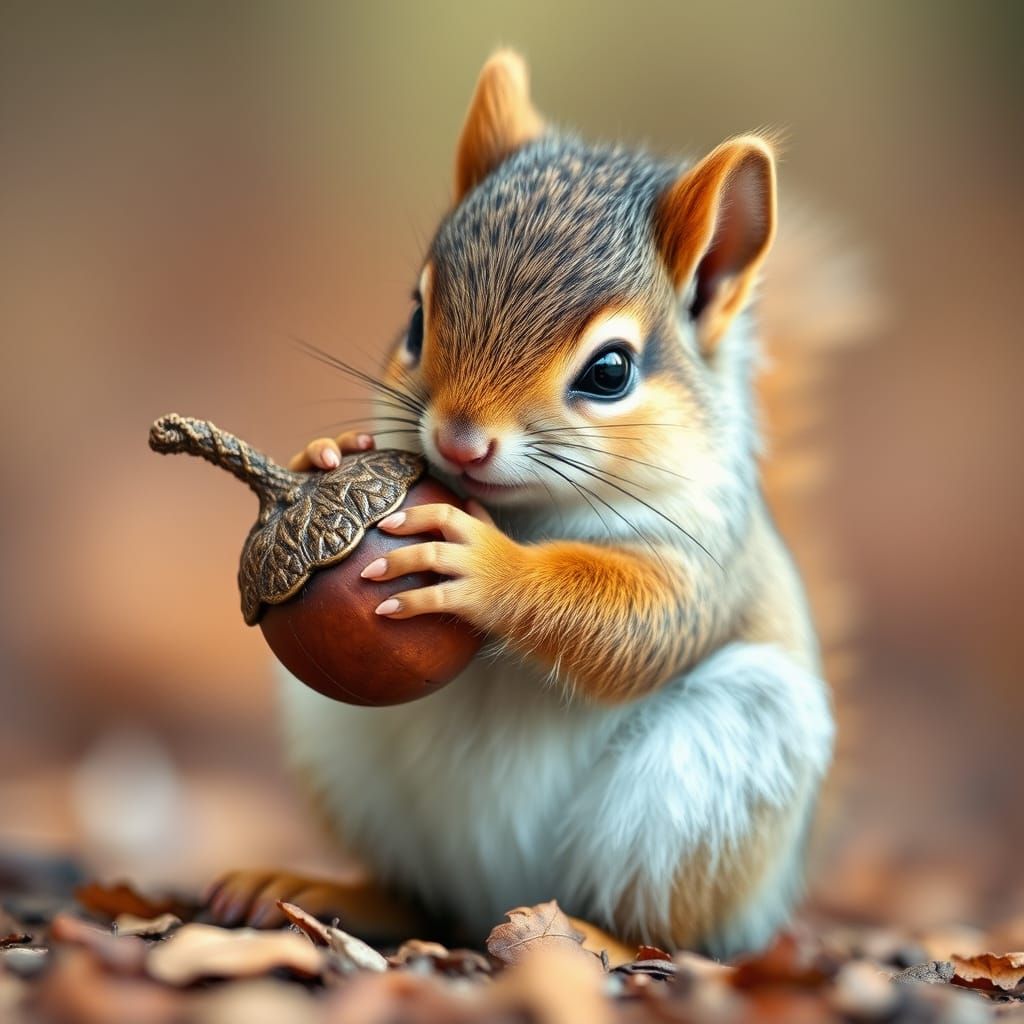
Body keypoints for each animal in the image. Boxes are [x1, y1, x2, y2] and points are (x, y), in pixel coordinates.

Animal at [205, 50, 841, 960]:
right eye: (415, 318)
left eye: (610, 372)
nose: (459, 440)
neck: (525, 511)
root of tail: (496, 900)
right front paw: (321, 459)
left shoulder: (707, 560)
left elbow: (643, 621)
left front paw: (486, 567)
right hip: (340, 745)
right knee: (421, 897)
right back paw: (320, 890)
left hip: (723, 770)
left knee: (666, 929)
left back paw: (594, 938)